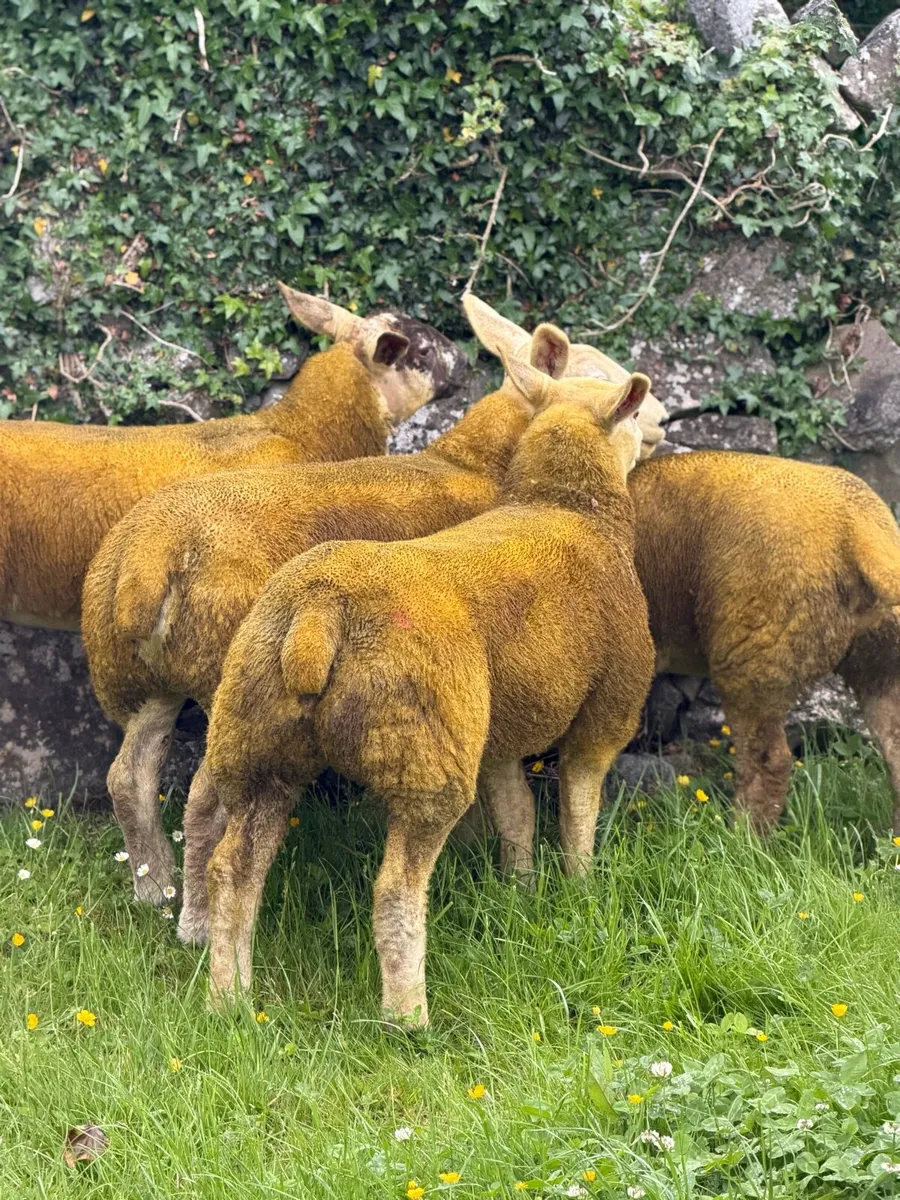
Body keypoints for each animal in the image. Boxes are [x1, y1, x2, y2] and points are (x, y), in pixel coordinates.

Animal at [82, 321, 574, 914]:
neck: (475, 464)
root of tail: (148, 555)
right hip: (227, 675)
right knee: (204, 799)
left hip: (148, 678)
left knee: (128, 777)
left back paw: (155, 888)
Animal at [201, 356, 654, 1025]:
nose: (656, 434)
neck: (568, 508)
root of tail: (319, 611)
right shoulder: (605, 714)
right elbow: (578, 812)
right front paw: (581, 889)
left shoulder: (496, 733)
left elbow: (516, 816)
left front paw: (520, 893)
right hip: (423, 753)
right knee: (394, 892)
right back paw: (407, 1019)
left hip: (256, 738)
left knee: (233, 870)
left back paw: (228, 1000)